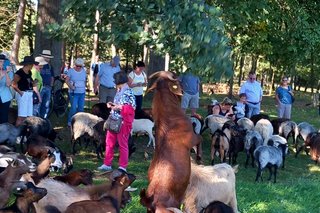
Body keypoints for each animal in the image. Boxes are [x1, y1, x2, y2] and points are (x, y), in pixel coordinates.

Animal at [139, 70, 200, 212]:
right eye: (176, 78)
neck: (168, 119)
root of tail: (151, 201)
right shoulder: (193, 138)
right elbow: (199, 143)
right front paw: (199, 158)